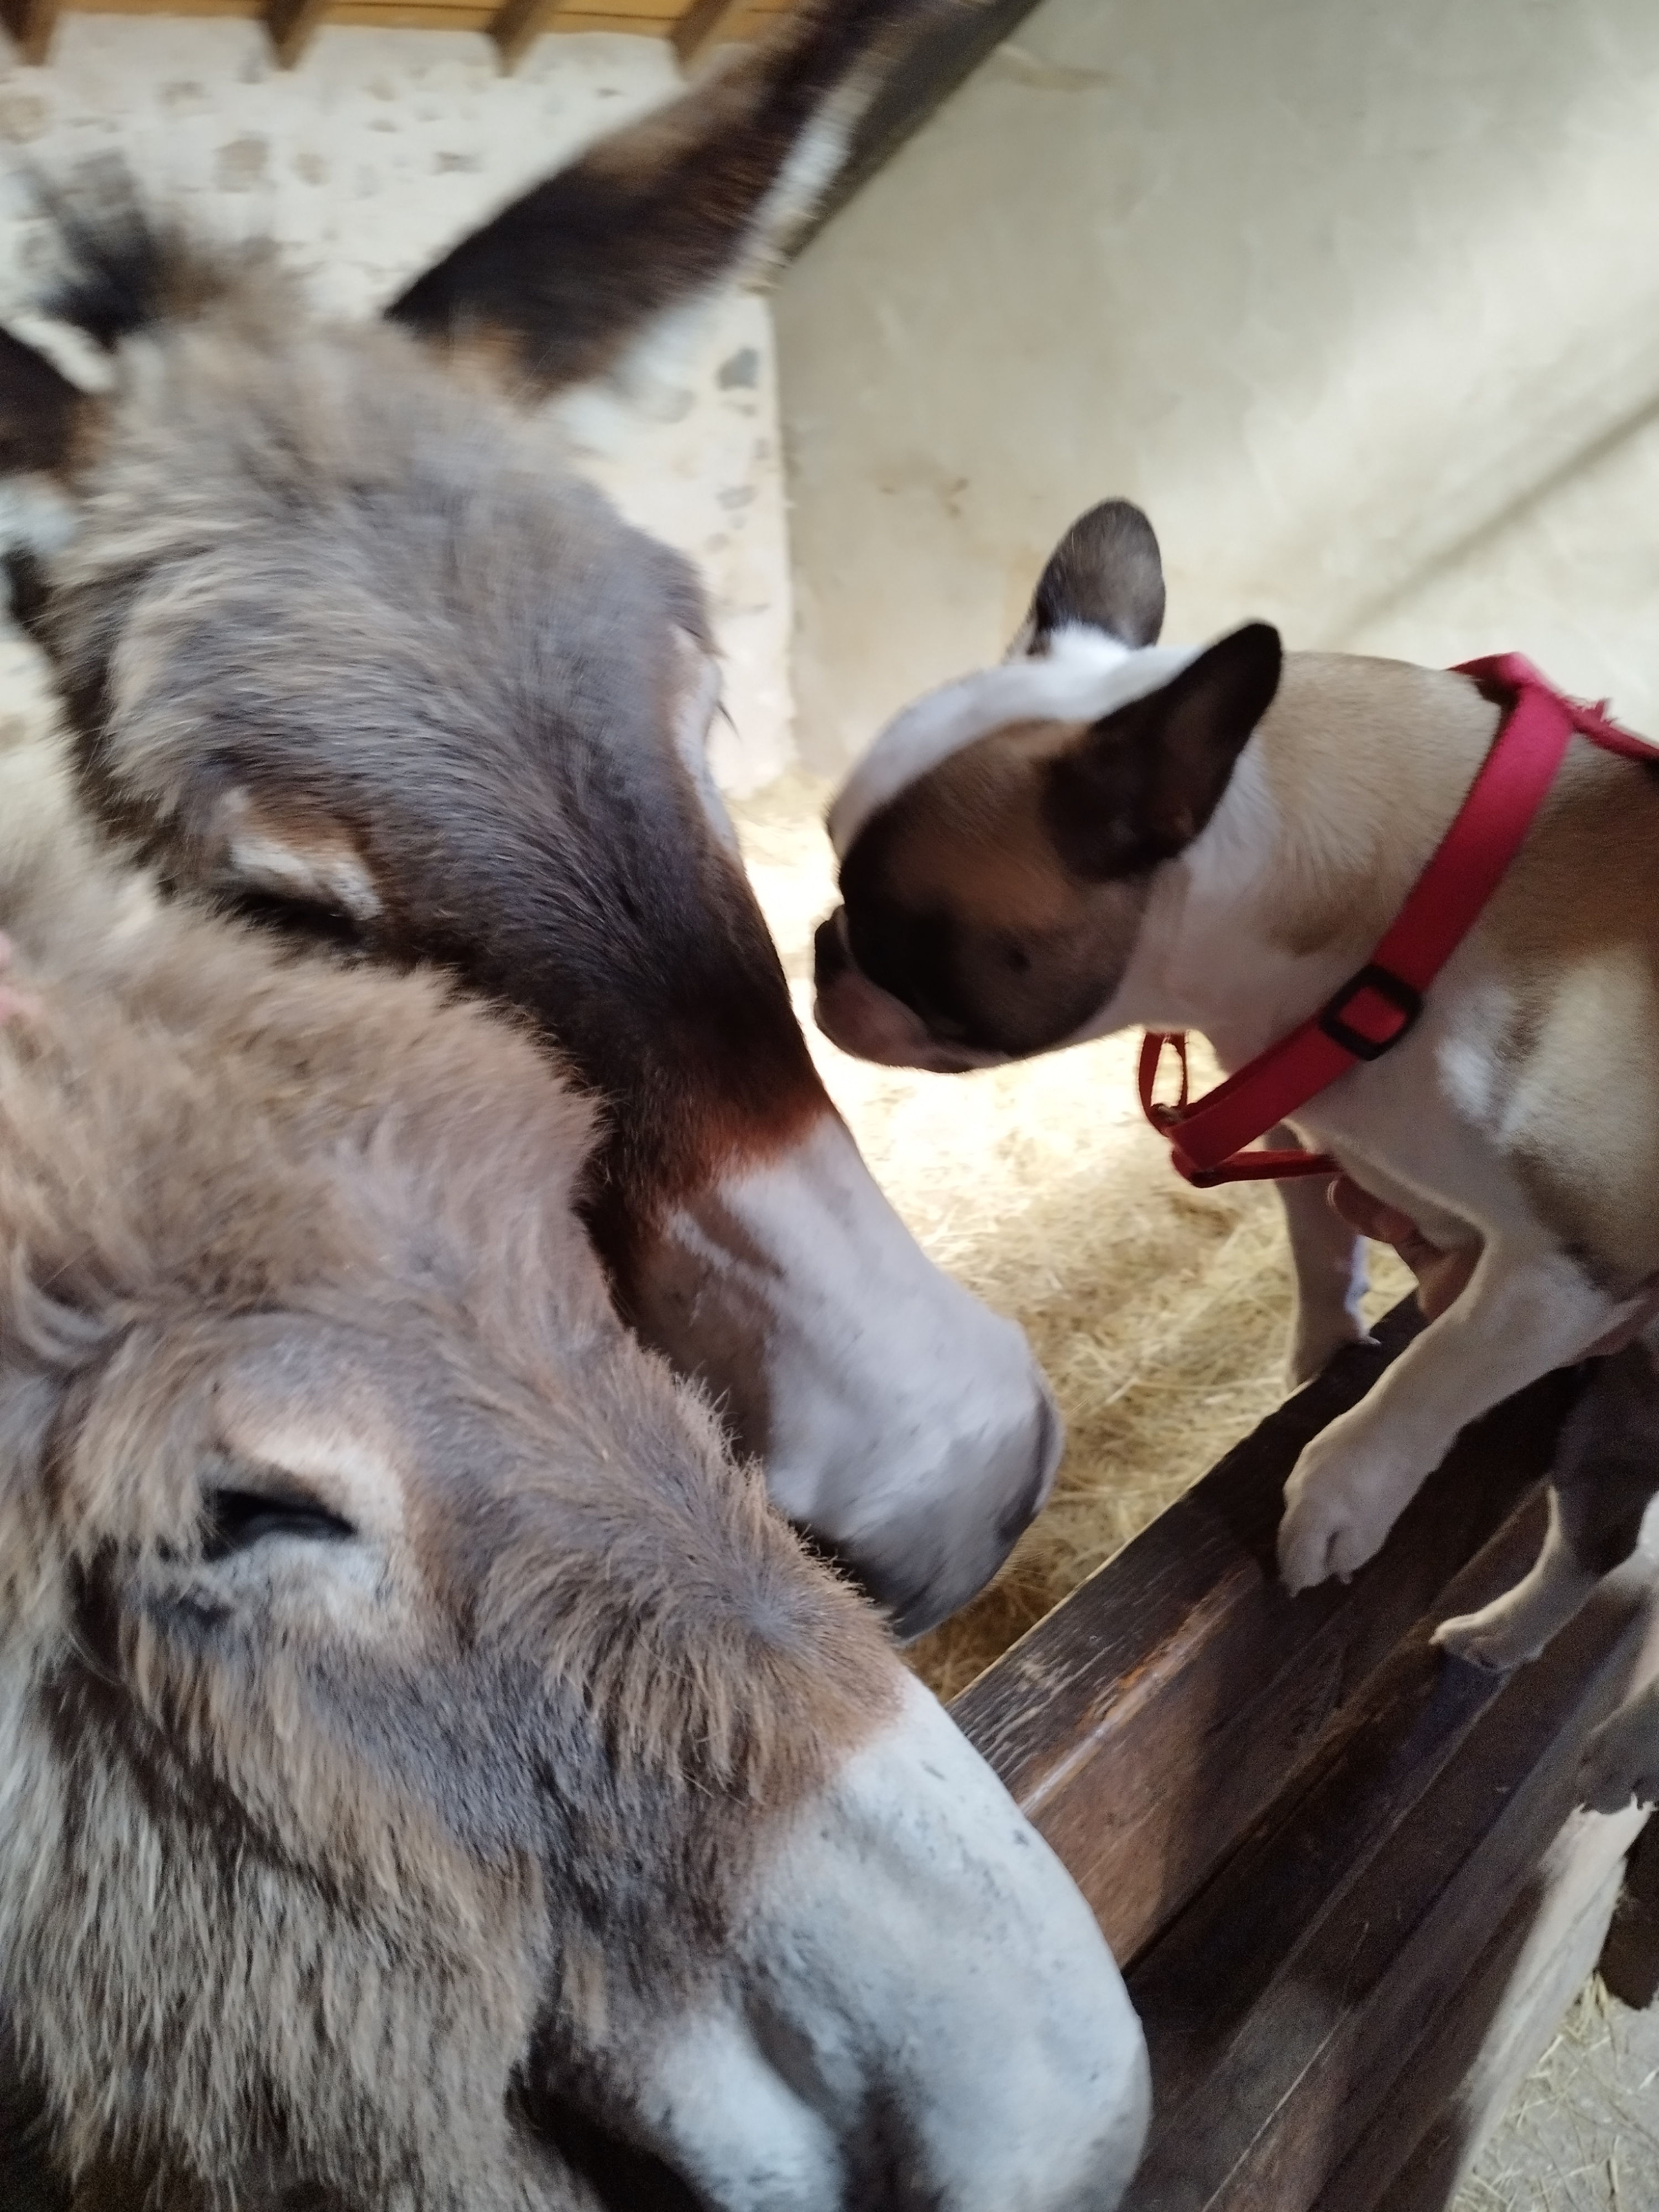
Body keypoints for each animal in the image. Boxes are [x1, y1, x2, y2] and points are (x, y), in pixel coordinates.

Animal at [814, 498, 1659, 1810]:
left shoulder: (1578, 1255)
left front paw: (1344, 1484)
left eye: (900, 930)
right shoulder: (1305, 1120)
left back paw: (1624, 1743)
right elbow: (1317, 1237)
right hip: (1614, 1426)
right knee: (1600, 1542)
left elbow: (1442, 1366)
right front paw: (1320, 1350)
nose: (820, 947)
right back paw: (1502, 1640)